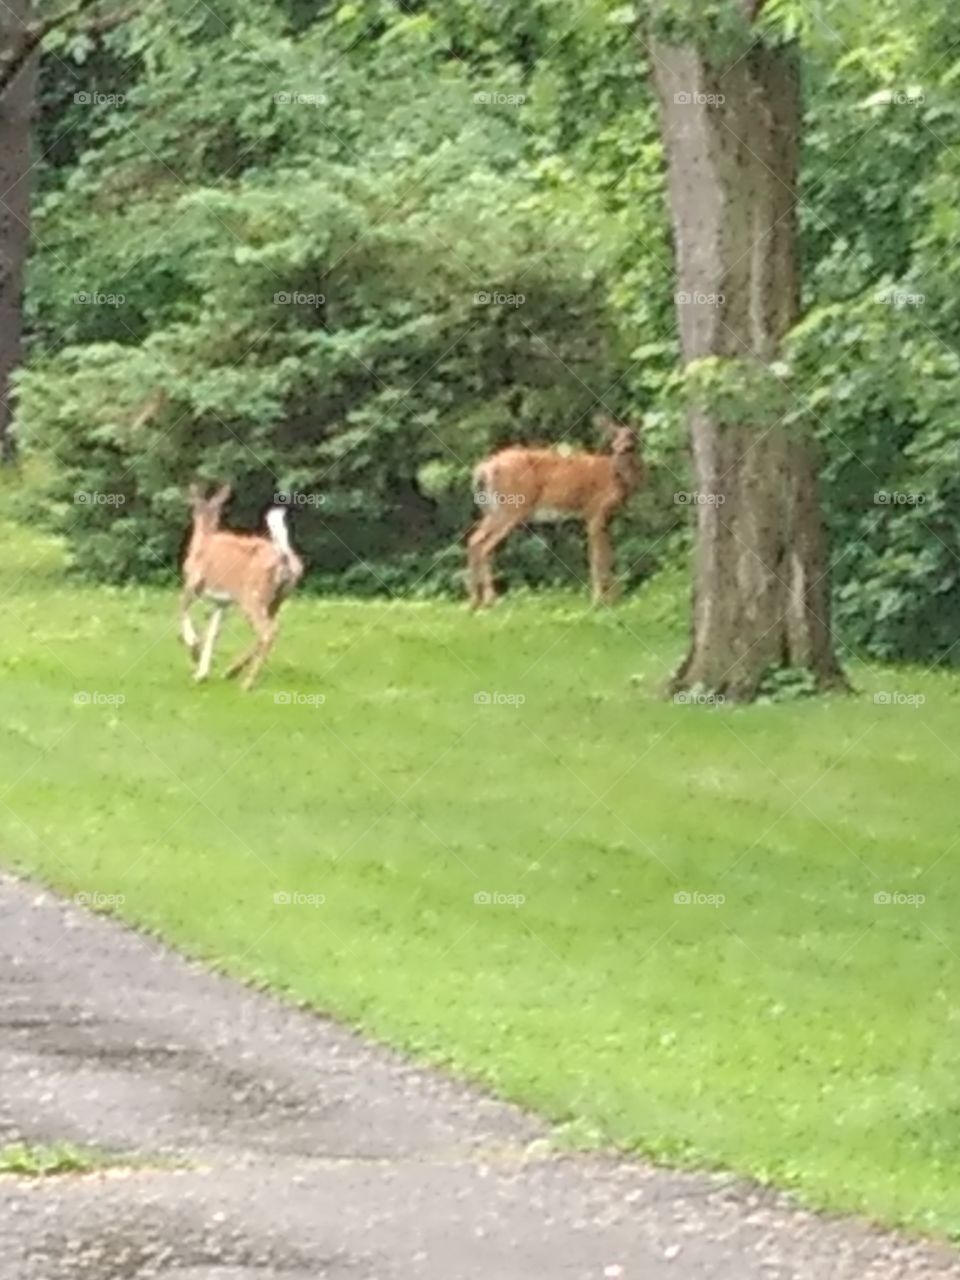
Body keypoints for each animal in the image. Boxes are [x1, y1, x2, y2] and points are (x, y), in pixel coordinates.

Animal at [180, 485, 304, 690]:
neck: (202, 541)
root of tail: (284, 558)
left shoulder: (193, 582)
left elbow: (181, 611)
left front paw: (194, 647)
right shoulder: (221, 602)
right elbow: (213, 633)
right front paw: (202, 674)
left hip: (251, 596)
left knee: (267, 631)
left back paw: (247, 683)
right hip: (277, 598)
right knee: (272, 629)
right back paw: (231, 672)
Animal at [467, 413, 643, 609]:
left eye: (632, 434)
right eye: (614, 435)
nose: (622, 448)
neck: (616, 478)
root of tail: (483, 470)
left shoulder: (605, 518)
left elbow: (608, 555)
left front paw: (614, 598)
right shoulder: (595, 511)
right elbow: (598, 557)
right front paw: (599, 600)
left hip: (493, 509)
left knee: (474, 540)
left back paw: (475, 601)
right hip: (512, 507)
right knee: (484, 546)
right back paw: (490, 599)